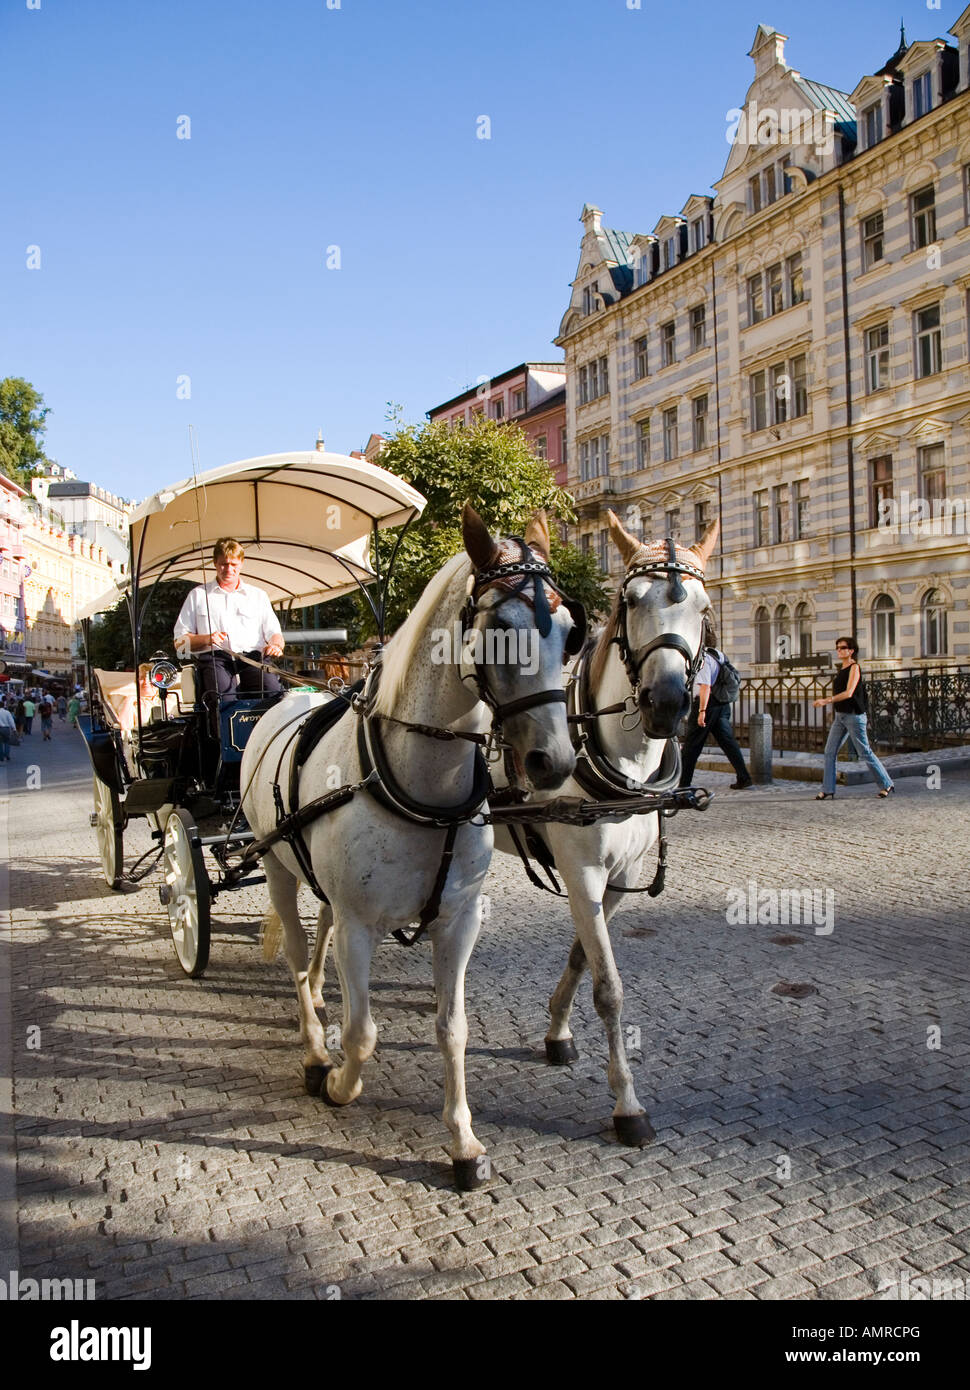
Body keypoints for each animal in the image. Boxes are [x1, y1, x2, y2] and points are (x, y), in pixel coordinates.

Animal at [243, 505, 575, 1189]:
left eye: (570, 630)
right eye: (499, 627)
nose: (552, 761)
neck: (418, 780)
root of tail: (288, 696)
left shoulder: (459, 920)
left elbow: (453, 1029)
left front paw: (463, 1141)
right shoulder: (361, 924)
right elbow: (363, 1033)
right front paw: (341, 1083)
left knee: (320, 937)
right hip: (277, 867)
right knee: (296, 952)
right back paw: (313, 1046)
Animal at [491, 511, 717, 1139]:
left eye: (704, 607)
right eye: (631, 599)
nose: (667, 700)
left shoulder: (617, 877)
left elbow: (581, 957)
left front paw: (557, 1031)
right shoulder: (583, 871)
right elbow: (610, 987)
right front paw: (627, 1103)